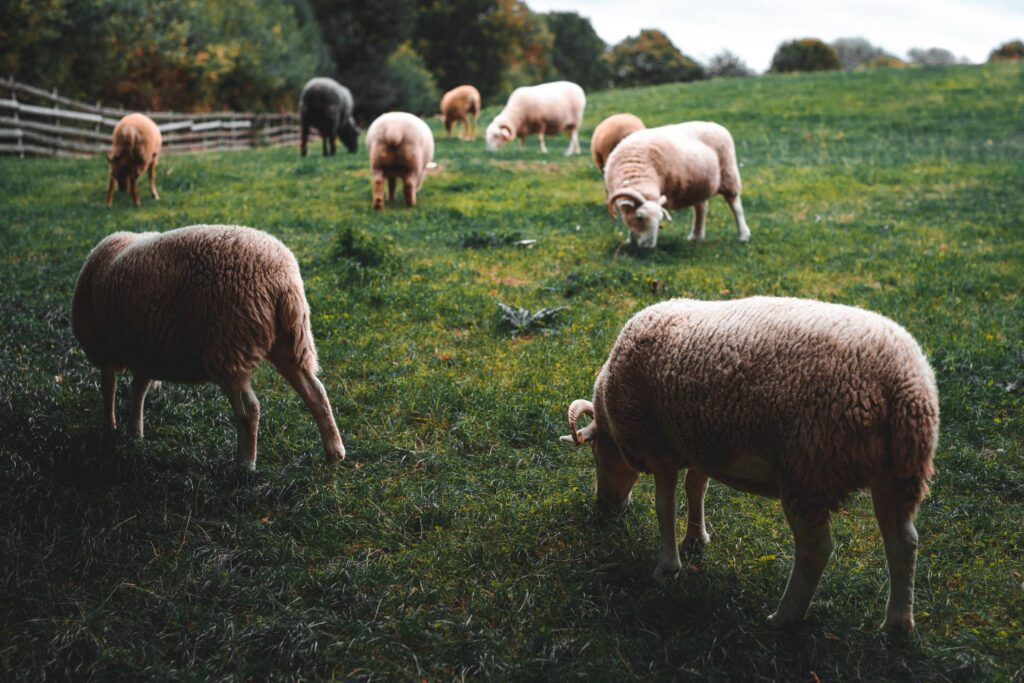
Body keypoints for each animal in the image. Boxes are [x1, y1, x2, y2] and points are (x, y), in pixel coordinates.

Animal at [71, 224, 348, 471]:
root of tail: (280, 280)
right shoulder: (149, 351)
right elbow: (138, 387)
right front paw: (134, 433)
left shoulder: (104, 348)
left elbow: (109, 388)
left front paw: (110, 428)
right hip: (288, 342)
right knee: (316, 392)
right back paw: (334, 451)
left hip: (228, 347)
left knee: (250, 409)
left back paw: (245, 464)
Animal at [565, 296, 937, 634]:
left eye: (597, 452)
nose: (605, 506)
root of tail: (902, 385)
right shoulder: (701, 440)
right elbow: (696, 488)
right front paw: (696, 538)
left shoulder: (661, 446)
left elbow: (664, 507)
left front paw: (667, 567)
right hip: (899, 473)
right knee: (903, 544)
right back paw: (898, 624)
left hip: (808, 470)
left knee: (816, 551)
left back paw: (785, 616)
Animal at [598, 120, 753, 248]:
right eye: (639, 217)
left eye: (660, 219)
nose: (648, 247)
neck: (637, 170)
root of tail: (716, 125)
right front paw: (630, 241)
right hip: (698, 184)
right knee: (701, 208)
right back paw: (696, 237)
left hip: (729, 175)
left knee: (736, 206)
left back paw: (743, 236)